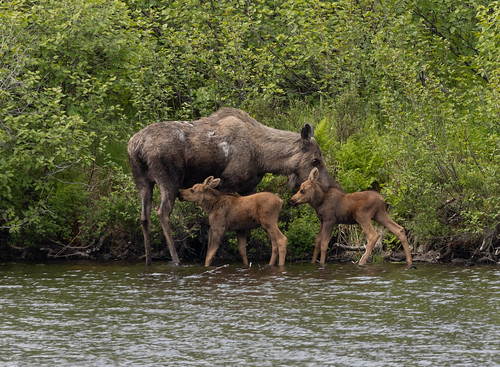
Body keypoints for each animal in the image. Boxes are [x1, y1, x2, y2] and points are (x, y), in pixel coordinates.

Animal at [127, 108, 334, 266]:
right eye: (315, 159)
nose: (329, 185)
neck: (263, 157)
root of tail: (136, 147)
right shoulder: (229, 182)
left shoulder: (247, 187)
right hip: (168, 179)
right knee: (163, 212)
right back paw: (176, 260)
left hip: (142, 181)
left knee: (144, 217)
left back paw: (148, 261)